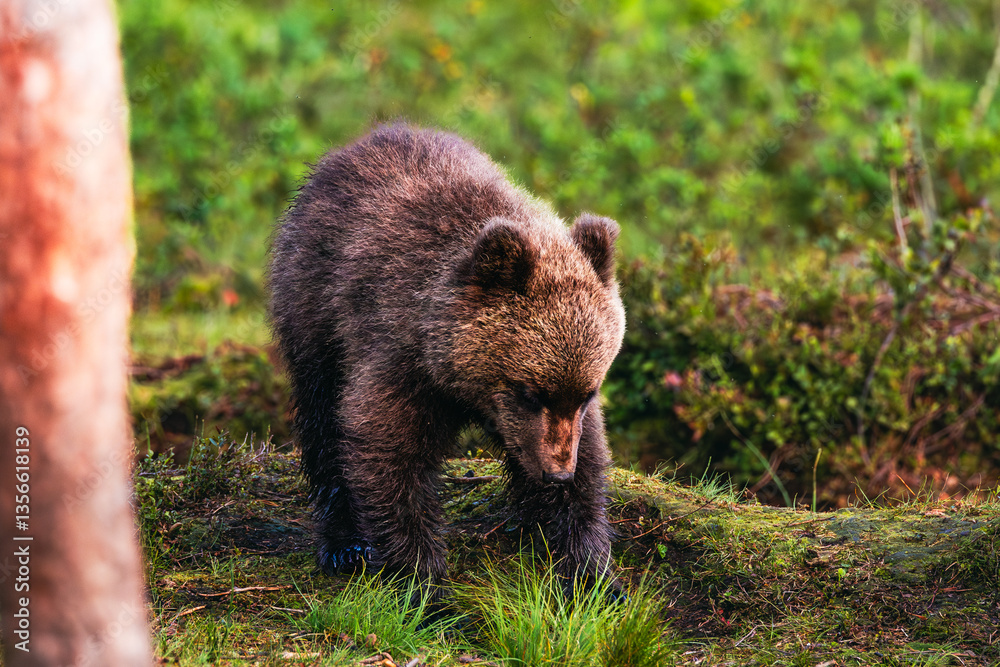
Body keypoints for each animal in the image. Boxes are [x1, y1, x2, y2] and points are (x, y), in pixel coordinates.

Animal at [268, 123, 625, 595]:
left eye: (587, 394)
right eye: (529, 392)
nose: (556, 473)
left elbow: (590, 461)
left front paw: (591, 568)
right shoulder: (401, 358)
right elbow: (388, 451)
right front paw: (422, 579)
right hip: (314, 309)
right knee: (322, 414)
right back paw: (344, 545)